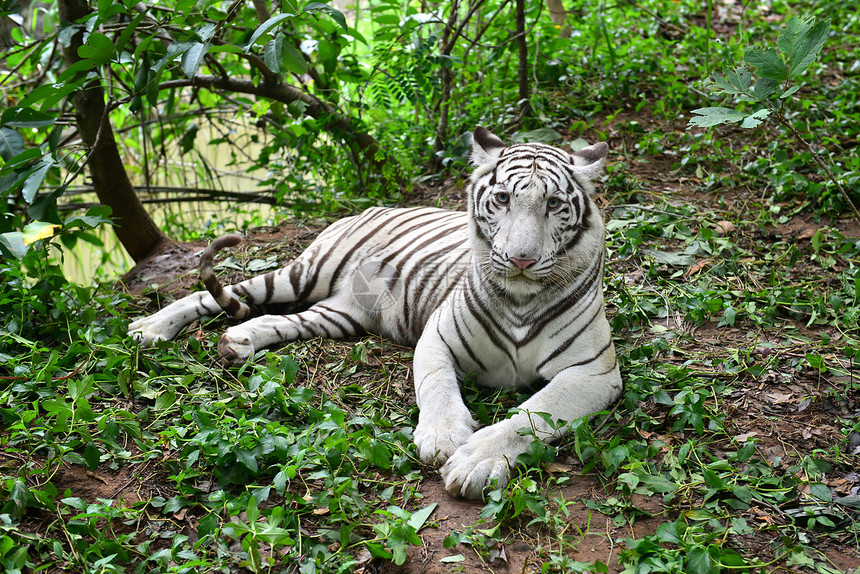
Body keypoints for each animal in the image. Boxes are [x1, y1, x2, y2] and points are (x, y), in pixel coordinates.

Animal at [129, 128, 620, 502]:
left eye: (553, 204)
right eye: (502, 199)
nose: (521, 259)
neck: (520, 296)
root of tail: (373, 206)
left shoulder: (593, 372)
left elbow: (534, 413)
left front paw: (475, 462)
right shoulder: (438, 337)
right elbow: (436, 387)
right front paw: (442, 439)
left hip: (337, 315)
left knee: (276, 319)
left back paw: (238, 342)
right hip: (303, 274)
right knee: (215, 292)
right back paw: (150, 328)